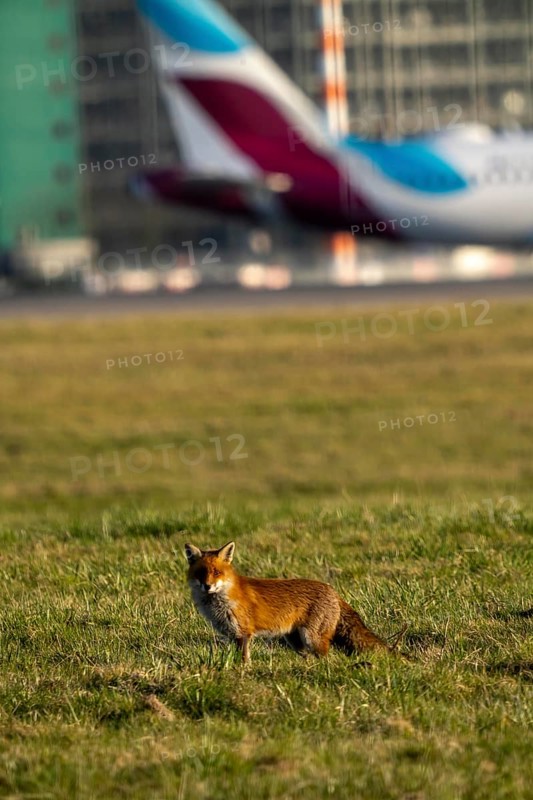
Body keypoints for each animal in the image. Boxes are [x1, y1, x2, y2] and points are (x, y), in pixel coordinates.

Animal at [184, 540, 394, 663]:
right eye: (200, 573)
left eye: (216, 572)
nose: (207, 586)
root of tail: (332, 590)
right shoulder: (231, 635)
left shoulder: (243, 633)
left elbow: (244, 660)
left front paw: (243, 674)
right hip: (296, 642)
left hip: (313, 639)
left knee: (328, 658)